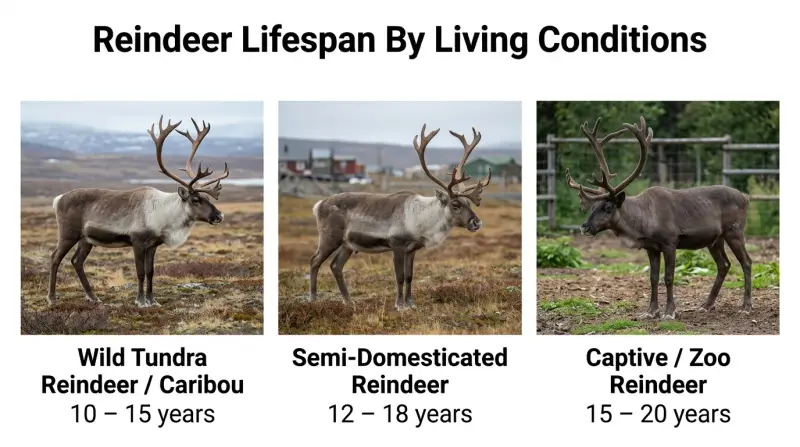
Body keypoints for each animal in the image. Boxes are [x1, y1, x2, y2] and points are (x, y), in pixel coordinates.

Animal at [47, 115, 229, 308]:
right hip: (68, 234)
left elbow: (150, 272)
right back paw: (52, 298)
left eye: (207, 197)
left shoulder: (153, 245)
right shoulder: (137, 242)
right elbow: (140, 272)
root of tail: (58, 199)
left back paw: (93, 297)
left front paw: (152, 300)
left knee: (77, 261)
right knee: (55, 258)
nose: (219, 215)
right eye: (195, 199)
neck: (164, 214)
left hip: (86, 239)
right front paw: (140, 301)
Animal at [309, 124, 492, 310]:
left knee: (335, 266)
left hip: (348, 244)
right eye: (455, 204)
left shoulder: (412, 249)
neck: (422, 219)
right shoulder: (396, 244)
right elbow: (400, 276)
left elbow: (410, 276)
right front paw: (399, 305)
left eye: (468, 203)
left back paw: (349, 301)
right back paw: (313, 299)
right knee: (314, 261)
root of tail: (319, 205)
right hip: (330, 238)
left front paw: (410, 303)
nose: (476, 222)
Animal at [565, 116, 752, 320]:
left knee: (746, 262)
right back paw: (706, 305)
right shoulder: (651, 248)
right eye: (592, 206)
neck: (642, 222)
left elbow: (668, 277)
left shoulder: (670, 243)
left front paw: (669, 312)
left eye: (607, 208)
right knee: (724, 264)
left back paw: (746, 306)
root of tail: (746, 197)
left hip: (734, 231)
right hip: (715, 239)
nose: (584, 227)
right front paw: (650, 312)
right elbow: (653, 278)